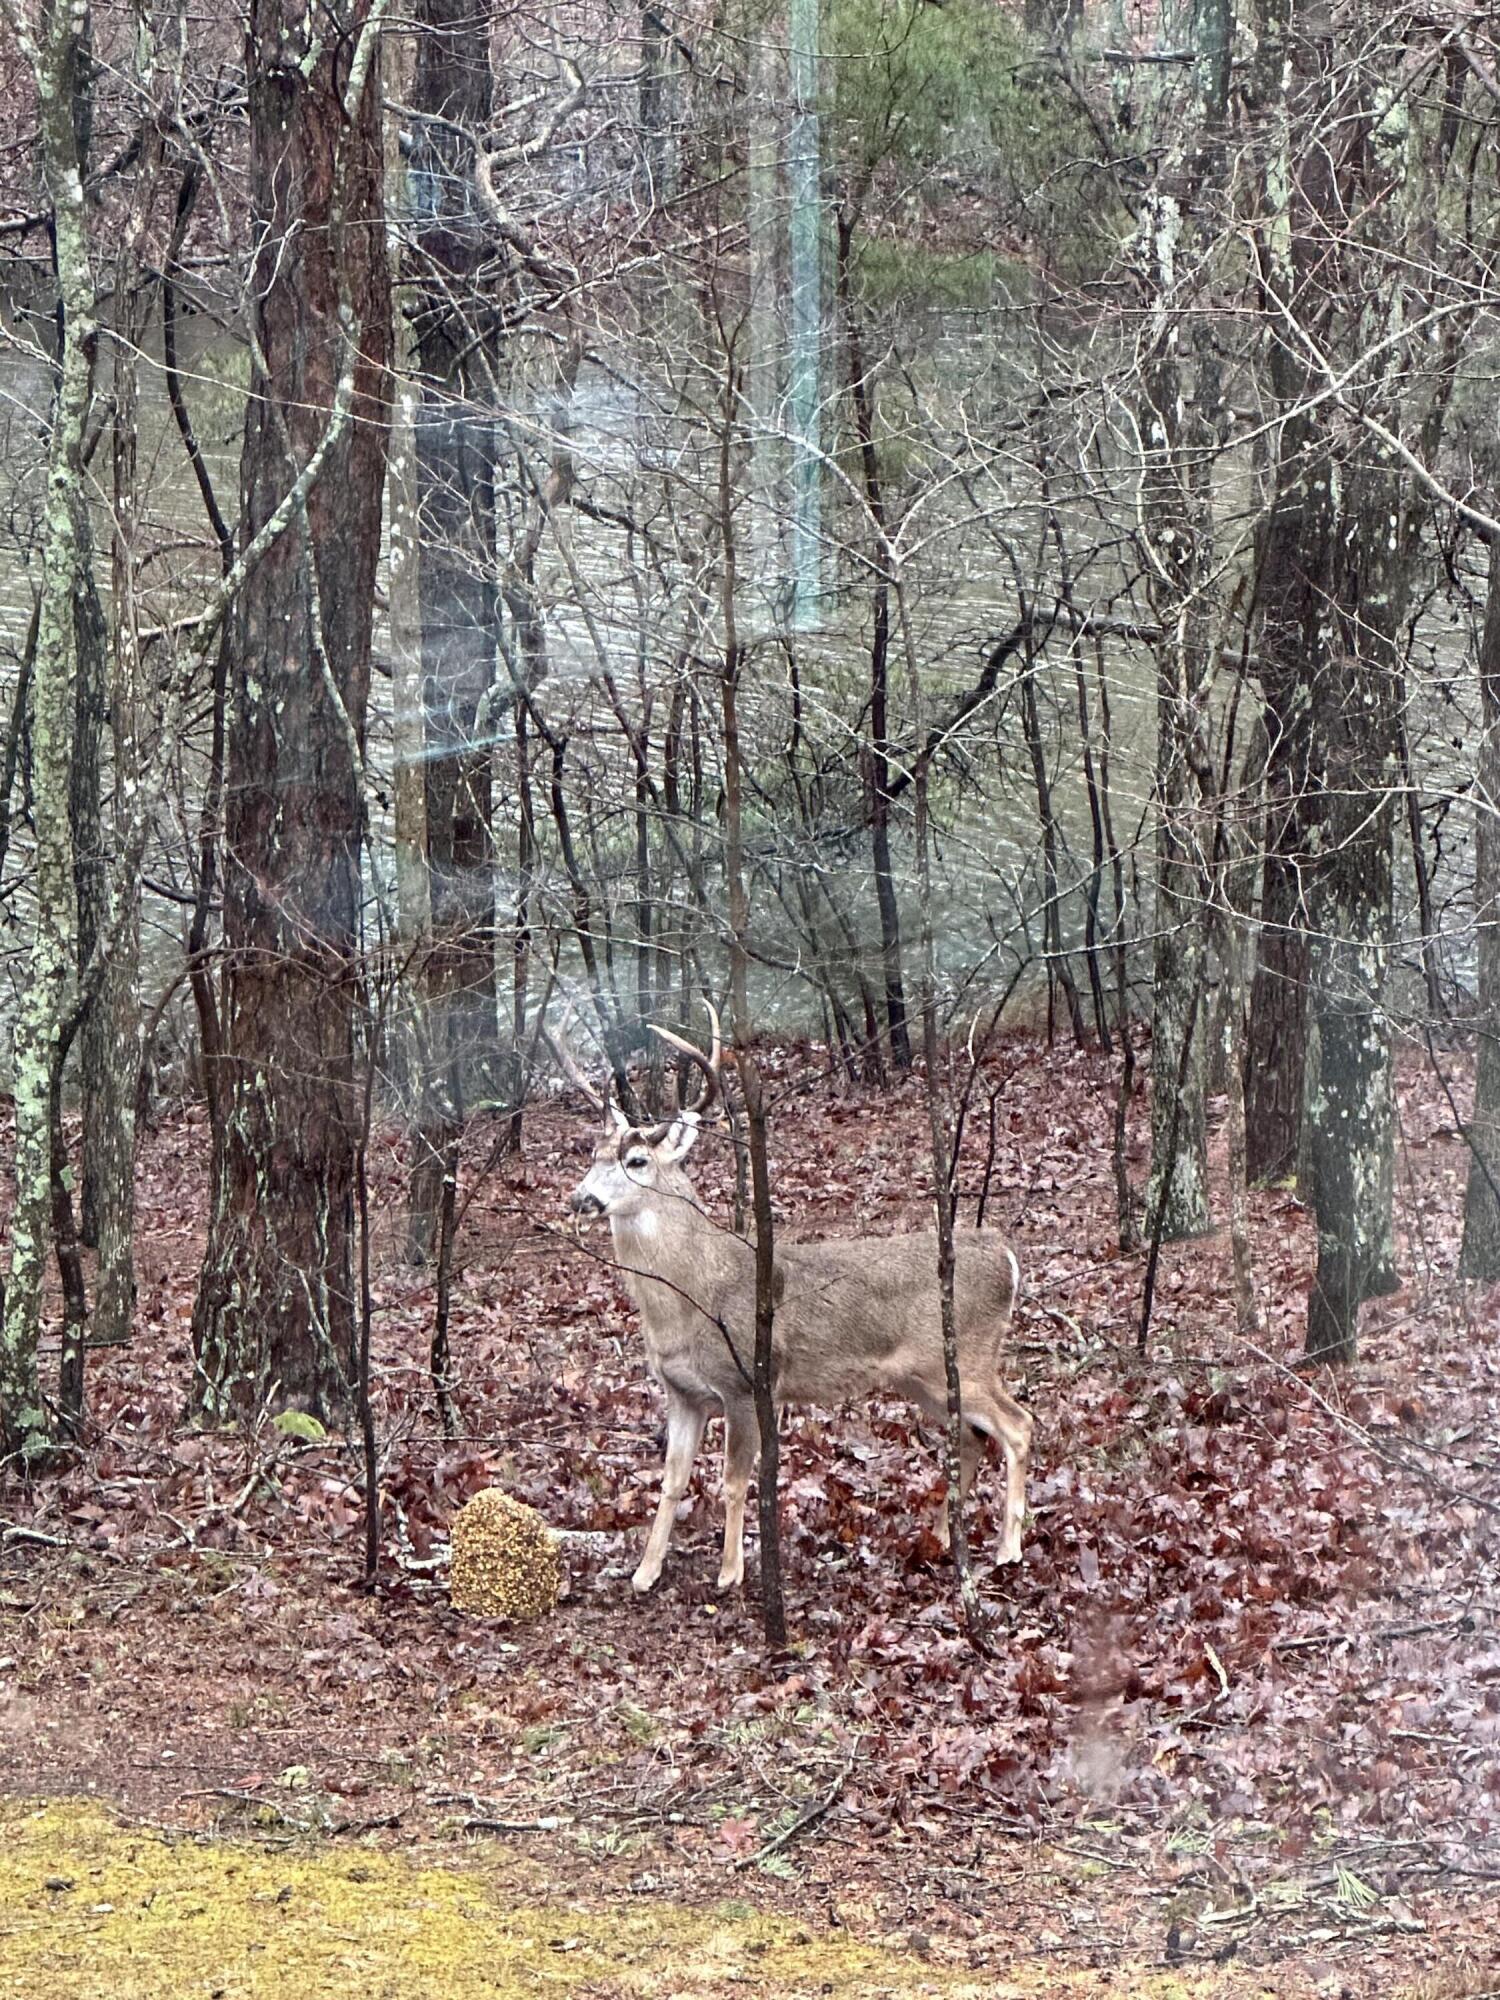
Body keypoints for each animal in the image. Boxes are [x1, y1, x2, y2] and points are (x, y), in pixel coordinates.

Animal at [556, 1008, 1032, 1596]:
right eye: (592, 1153)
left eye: (638, 1160)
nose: (582, 1198)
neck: (691, 1299)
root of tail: (1005, 1255)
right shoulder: (682, 1392)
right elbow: (671, 1482)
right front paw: (645, 1573)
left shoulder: (745, 1382)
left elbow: (733, 1481)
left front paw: (731, 1573)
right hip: (922, 1377)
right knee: (970, 1438)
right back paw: (943, 1537)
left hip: (967, 1354)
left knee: (1019, 1426)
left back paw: (1008, 1548)